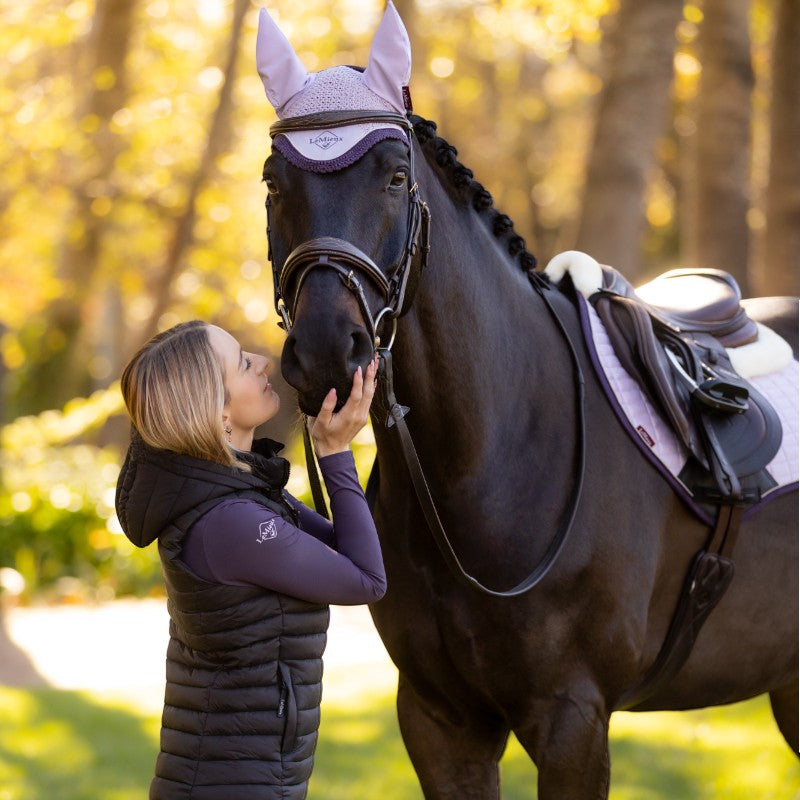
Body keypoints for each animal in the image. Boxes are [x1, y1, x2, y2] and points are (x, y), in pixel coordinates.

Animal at [255, 5, 799, 797]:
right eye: (274, 183)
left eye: (395, 177)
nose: (329, 349)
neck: (490, 459)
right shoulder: (439, 720)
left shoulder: (572, 719)